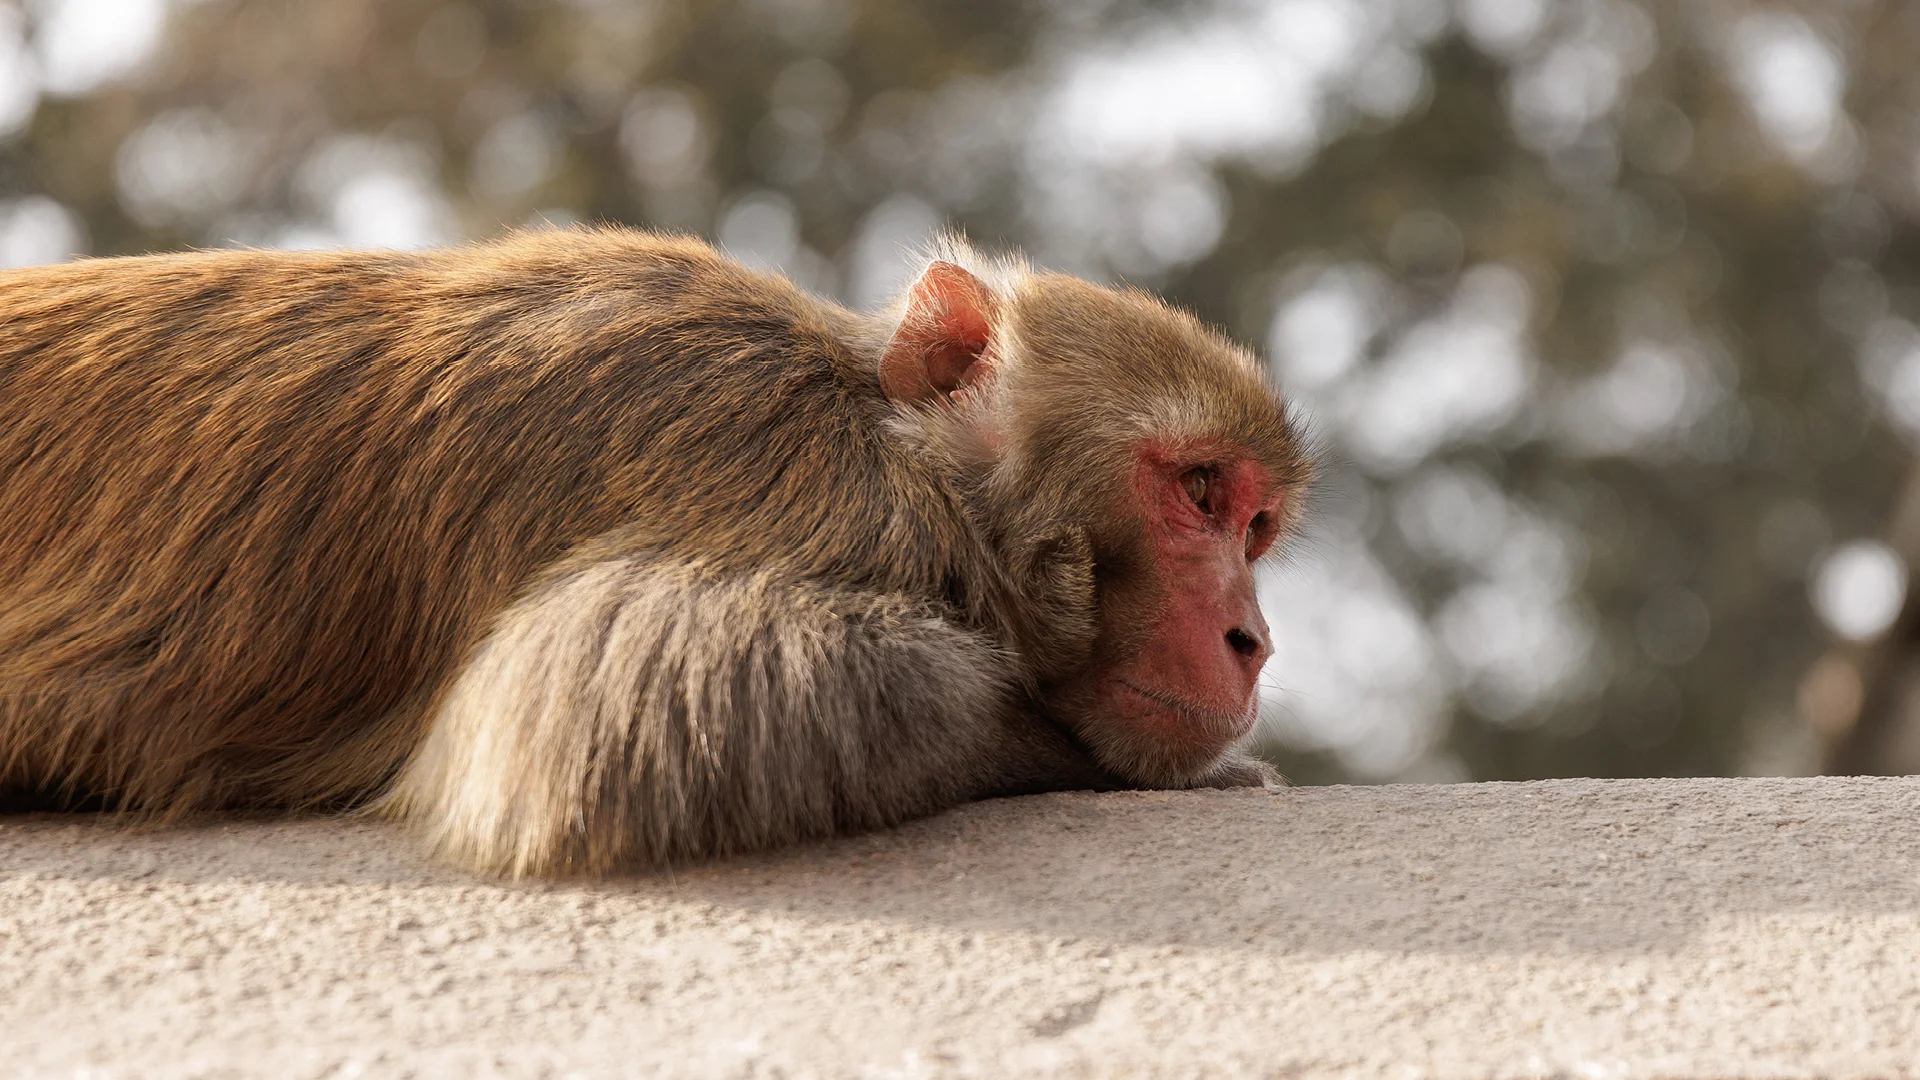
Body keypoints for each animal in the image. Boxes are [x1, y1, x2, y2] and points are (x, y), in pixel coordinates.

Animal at [0, 226, 1305, 876]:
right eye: (1198, 490)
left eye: (1255, 526)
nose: (1253, 640)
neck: (888, 436)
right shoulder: (803, 488)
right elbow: (615, 716)